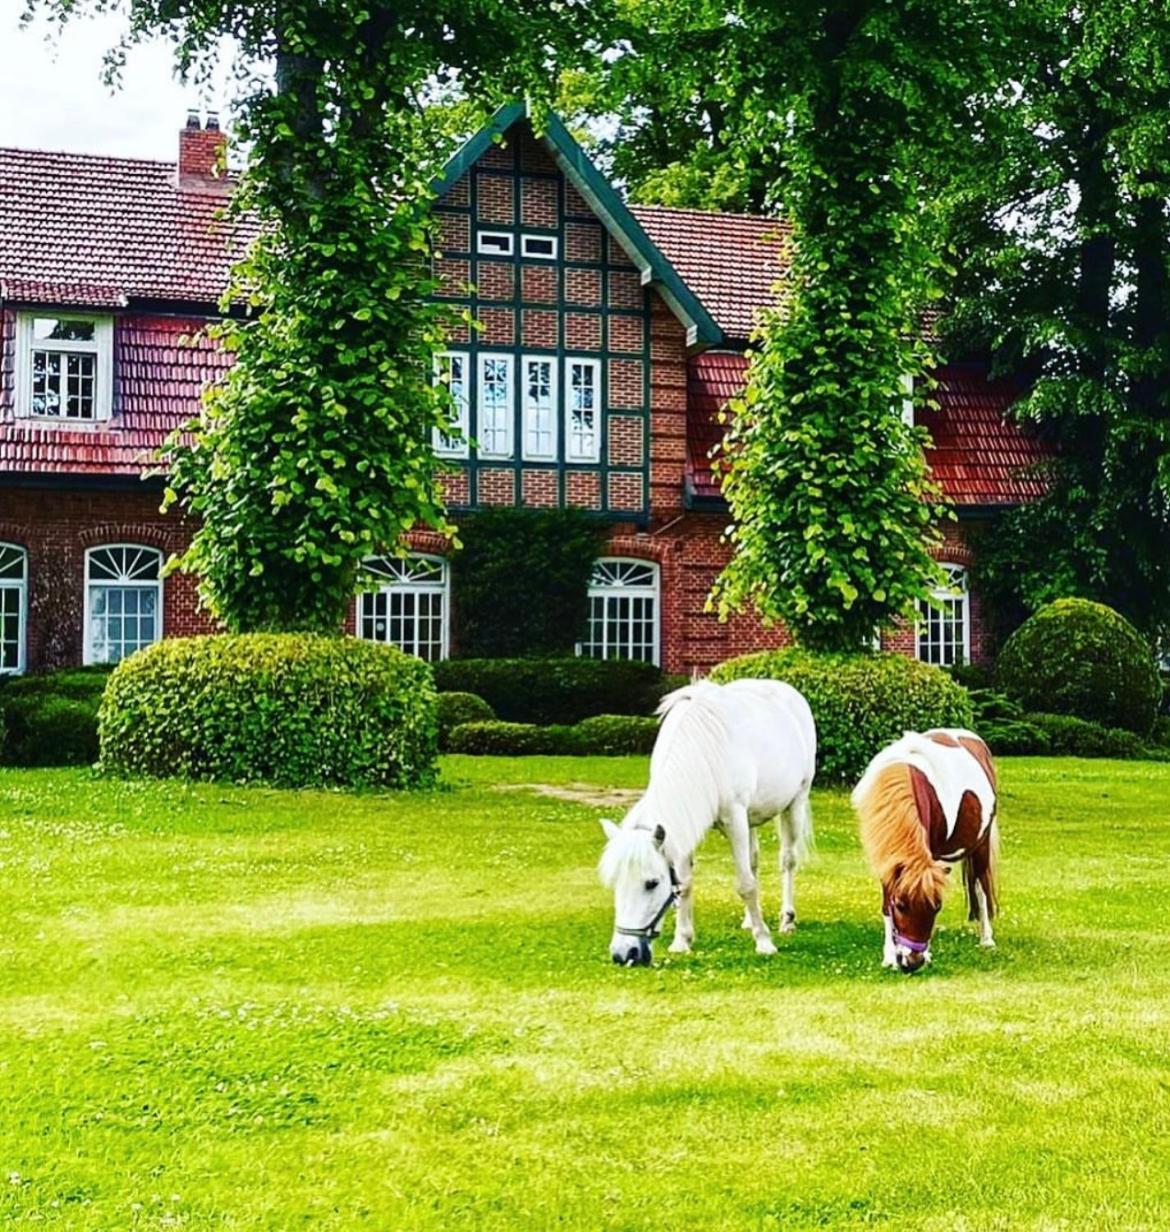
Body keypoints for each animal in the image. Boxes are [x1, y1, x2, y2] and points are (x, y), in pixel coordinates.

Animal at [603, 680, 812, 965]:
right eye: (615, 882)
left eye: (652, 883)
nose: (624, 954)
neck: (700, 750)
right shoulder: (682, 828)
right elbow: (685, 883)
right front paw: (682, 940)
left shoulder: (734, 819)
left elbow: (746, 885)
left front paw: (764, 942)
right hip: (751, 819)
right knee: (753, 861)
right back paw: (749, 920)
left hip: (795, 803)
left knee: (787, 861)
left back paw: (787, 919)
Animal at [852, 729, 1000, 970]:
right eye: (900, 905)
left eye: (937, 907)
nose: (913, 962)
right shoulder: (886, 860)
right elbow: (886, 905)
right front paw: (889, 957)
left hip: (981, 845)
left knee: (981, 887)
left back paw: (987, 939)